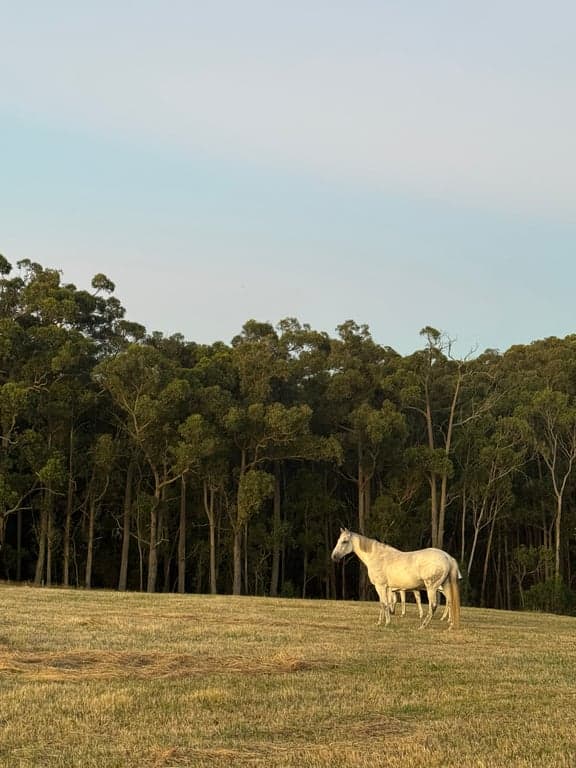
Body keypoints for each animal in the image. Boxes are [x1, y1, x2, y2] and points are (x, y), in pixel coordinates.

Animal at [331, 528, 461, 630]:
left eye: (344, 541)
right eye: (338, 540)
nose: (334, 556)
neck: (377, 556)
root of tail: (447, 557)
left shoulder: (380, 586)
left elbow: (384, 603)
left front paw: (387, 623)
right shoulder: (387, 588)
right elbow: (384, 604)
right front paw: (379, 622)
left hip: (432, 587)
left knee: (433, 605)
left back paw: (422, 626)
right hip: (445, 585)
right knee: (451, 602)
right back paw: (450, 625)